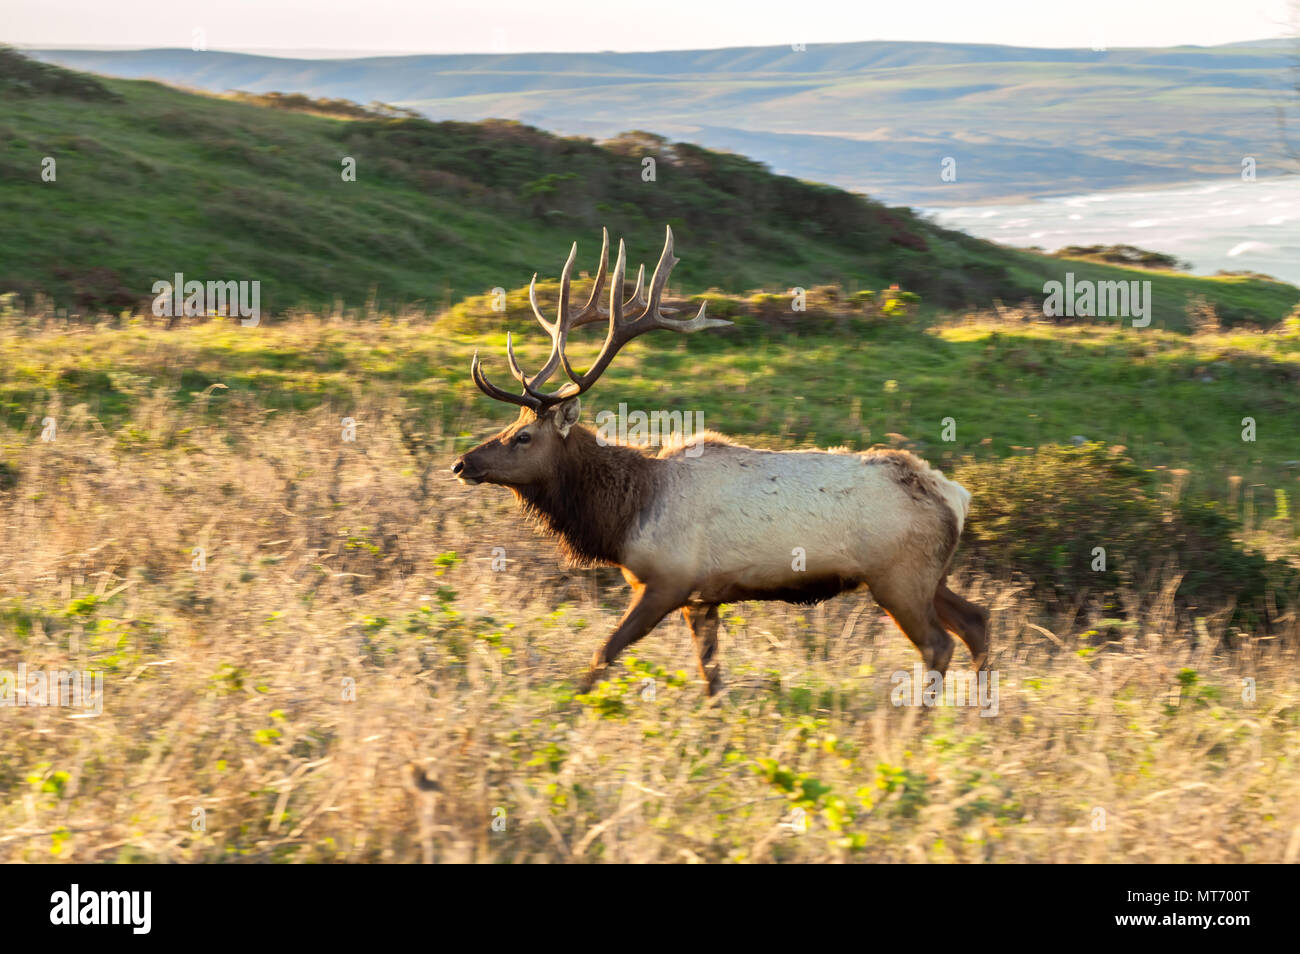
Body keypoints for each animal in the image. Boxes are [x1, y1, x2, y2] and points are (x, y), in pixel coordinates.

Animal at [452, 227, 987, 696]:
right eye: (509, 426)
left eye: (522, 436)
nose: (462, 463)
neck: (623, 515)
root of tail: (955, 495)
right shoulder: (702, 599)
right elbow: (711, 677)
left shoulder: (668, 581)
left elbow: (604, 653)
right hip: (928, 575)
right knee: (977, 621)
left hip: (900, 576)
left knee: (939, 644)